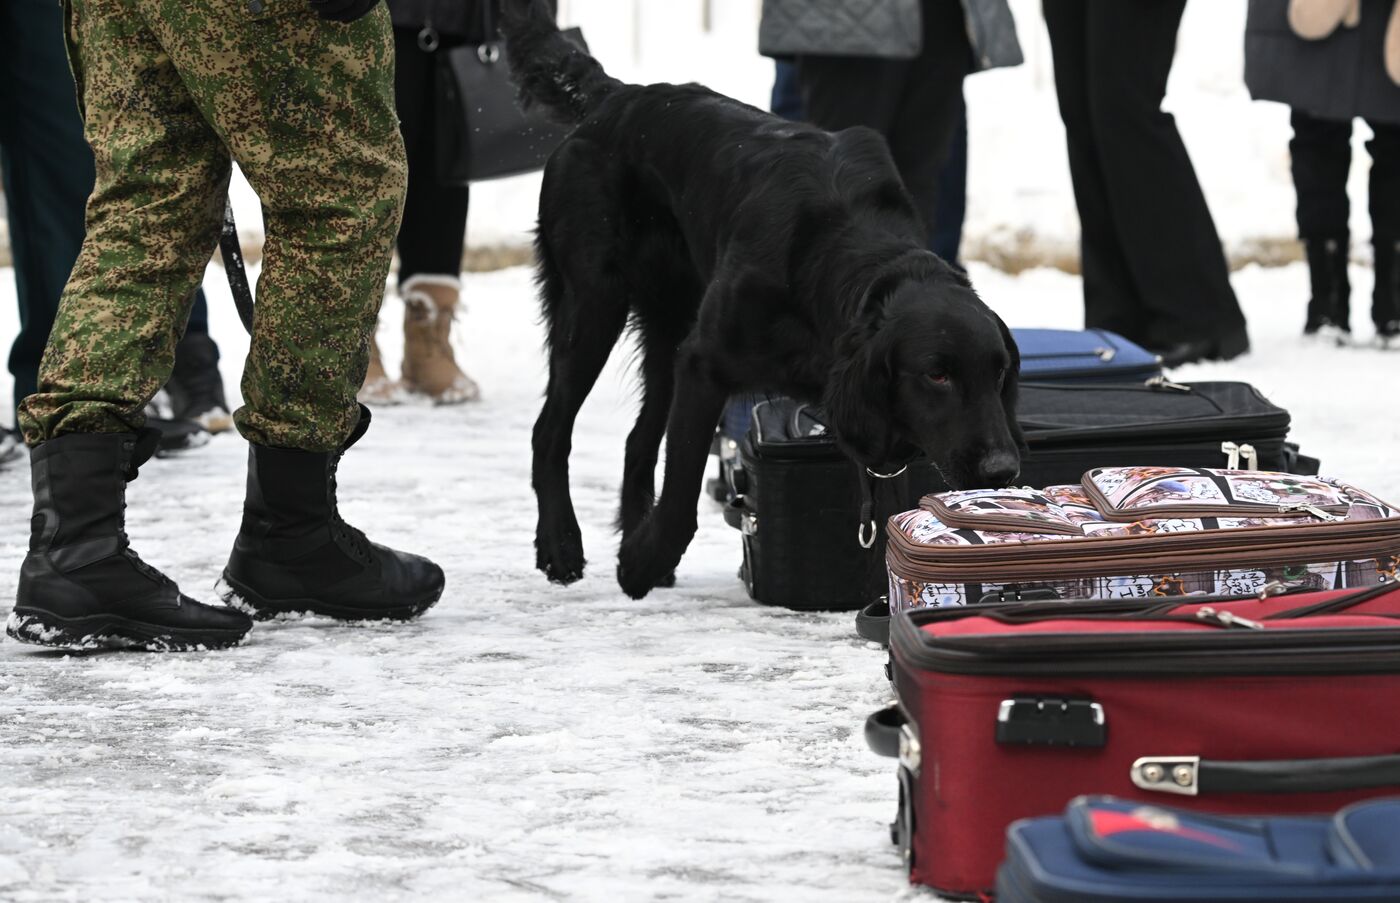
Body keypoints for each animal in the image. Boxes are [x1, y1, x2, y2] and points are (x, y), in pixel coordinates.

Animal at [498, 0, 1024, 599]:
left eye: (1000, 374)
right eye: (937, 375)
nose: (1003, 471)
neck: (841, 249)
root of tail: (615, 96)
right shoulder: (704, 365)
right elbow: (681, 499)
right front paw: (638, 565)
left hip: (668, 327)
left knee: (636, 440)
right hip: (594, 302)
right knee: (550, 430)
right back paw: (561, 545)